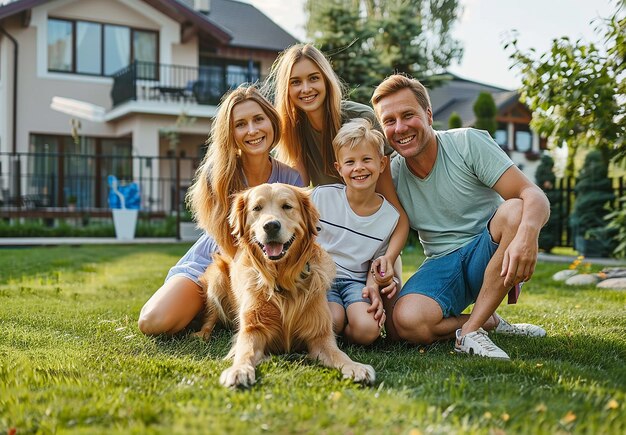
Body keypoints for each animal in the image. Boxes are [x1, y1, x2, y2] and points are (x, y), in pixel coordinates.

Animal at [195, 184, 372, 388]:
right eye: (257, 208)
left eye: (287, 206)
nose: (271, 225)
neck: (282, 279)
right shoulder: (253, 329)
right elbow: (244, 351)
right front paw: (239, 370)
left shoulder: (320, 335)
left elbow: (338, 354)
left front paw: (356, 367)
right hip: (216, 279)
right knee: (210, 317)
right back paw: (202, 334)